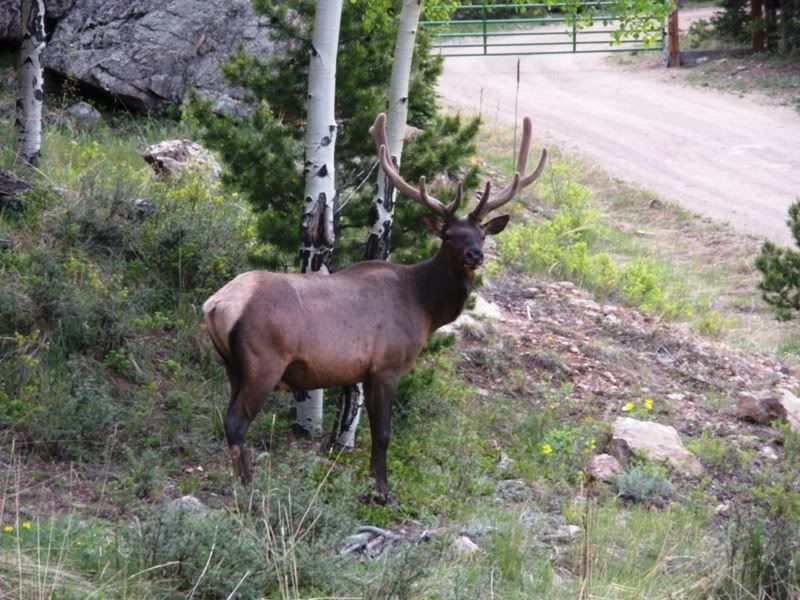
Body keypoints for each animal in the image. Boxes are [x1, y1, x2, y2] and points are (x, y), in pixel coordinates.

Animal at [202, 113, 547, 503]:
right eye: (448, 236)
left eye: (482, 234)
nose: (475, 255)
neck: (425, 308)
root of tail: (215, 305)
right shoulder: (387, 365)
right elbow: (382, 433)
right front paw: (382, 492)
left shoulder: (364, 372)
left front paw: (371, 483)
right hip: (264, 360)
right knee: (236, 422)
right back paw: (249, 488)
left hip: (232, 364)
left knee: (225, 417)